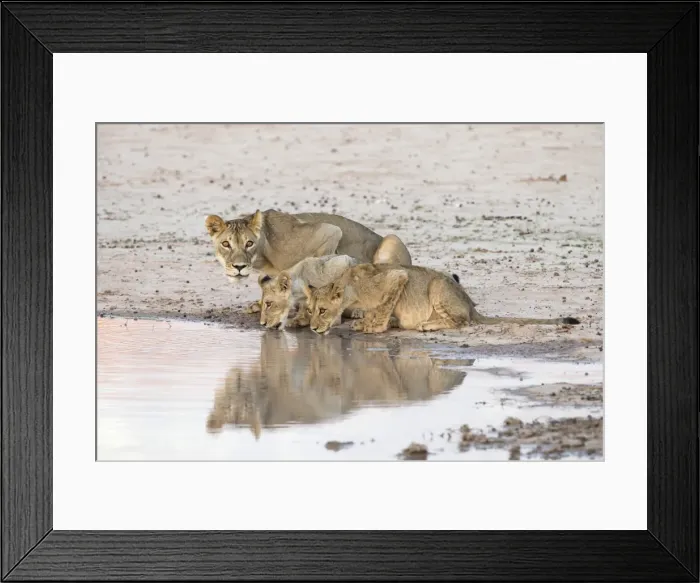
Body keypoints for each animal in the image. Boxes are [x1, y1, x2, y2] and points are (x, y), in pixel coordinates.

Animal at [204, 208, 412, 312]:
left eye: (249, 243)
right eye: (226, 244)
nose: (239, 267)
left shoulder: (330, 231)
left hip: (392, 239)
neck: (262, 254)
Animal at [305, 263, 581, 335]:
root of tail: (469, 303)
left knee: (461, 321)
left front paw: (374, 327)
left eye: (322, 310)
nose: (313, 329)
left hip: (438, 287)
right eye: (309, 310)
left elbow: (384, 306)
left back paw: (426, 325)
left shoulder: (397, 276)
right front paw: (364, 321)